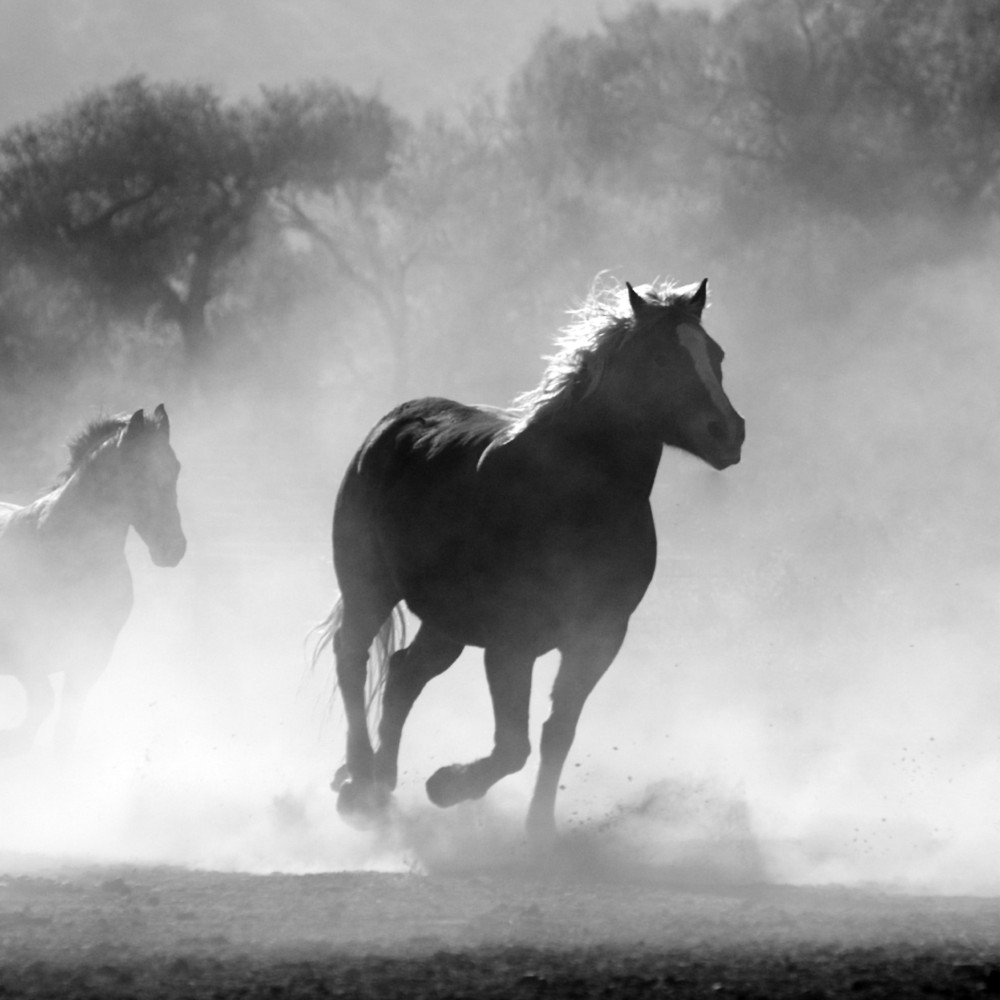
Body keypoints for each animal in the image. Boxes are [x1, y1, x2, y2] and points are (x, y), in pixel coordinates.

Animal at [0, 402, 187, 752]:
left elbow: (64, 730)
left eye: (176, 468)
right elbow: (41, 707)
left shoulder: (90, 661)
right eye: (137, 471)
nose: (174, 549)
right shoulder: (24, 658)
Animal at [316, 278, 748, 840]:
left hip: (447, 623)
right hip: (368, 588)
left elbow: (556, 733)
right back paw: (361, 784)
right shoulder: (511, 644)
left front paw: (539, 829)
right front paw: (447, 785)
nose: (729, 432)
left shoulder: (598, 637)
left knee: (404, 672)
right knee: (352, 659)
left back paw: (382, 784)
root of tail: (392, 424)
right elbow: (513, 746)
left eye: (715, 355)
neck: (573, 499)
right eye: (659, 358)